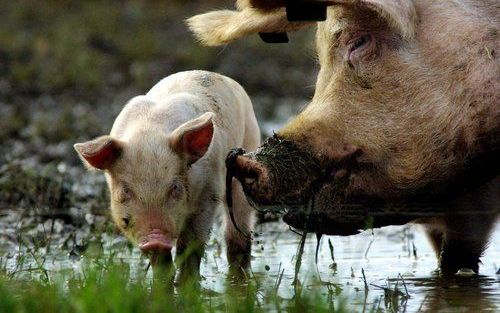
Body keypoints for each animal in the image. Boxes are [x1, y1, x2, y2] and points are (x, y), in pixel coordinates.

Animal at [76, 71, 262, 280]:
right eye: (125, 191)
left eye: (175, 188)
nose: (155, 238)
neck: (149, 133)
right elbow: (160, 259)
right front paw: (162, 283)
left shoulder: (208, 192)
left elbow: (191, 244)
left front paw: (187, 284)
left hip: (247, 151)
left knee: (238, 225)